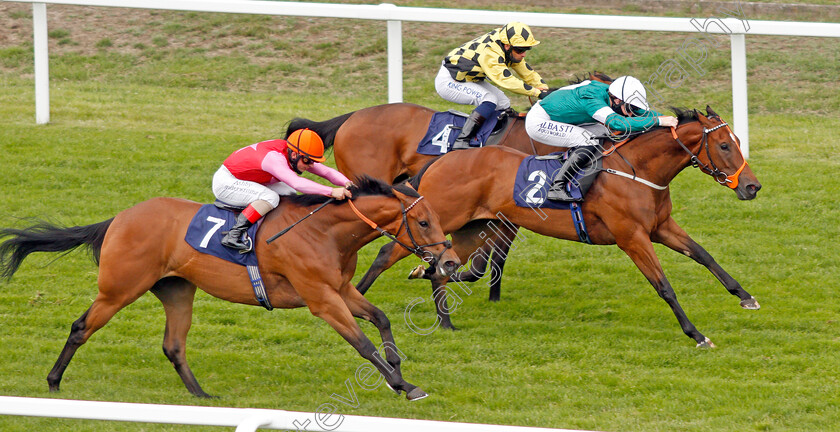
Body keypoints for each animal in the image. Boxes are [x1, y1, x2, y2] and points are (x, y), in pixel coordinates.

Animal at [0, 177, 460, 400]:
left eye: (437, 219)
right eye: (423, 222)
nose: (451, 262)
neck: (324, 232)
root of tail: (118, 218)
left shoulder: (341, 289)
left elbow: (380, 319)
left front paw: (396, 372)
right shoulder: (321, 299)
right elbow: (362, 343)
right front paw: (404, 386)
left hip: (177, 290)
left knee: (173, 345)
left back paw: (202, 395)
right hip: (119, 289)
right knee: (81, 327)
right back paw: (54, 382)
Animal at [354, 107, 760, 348]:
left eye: (739, 141)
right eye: (725, 145)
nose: (752, 187)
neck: (637, 170)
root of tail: (440, 161)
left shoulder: (661, 227)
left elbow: (704, 256)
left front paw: (745, 296)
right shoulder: (632, 238)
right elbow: (664, 286)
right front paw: (696, 334)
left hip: (470, 228)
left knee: (443, 268)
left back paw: (445, 322)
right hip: (436, 221)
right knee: (389, 251)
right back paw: (358, 294)